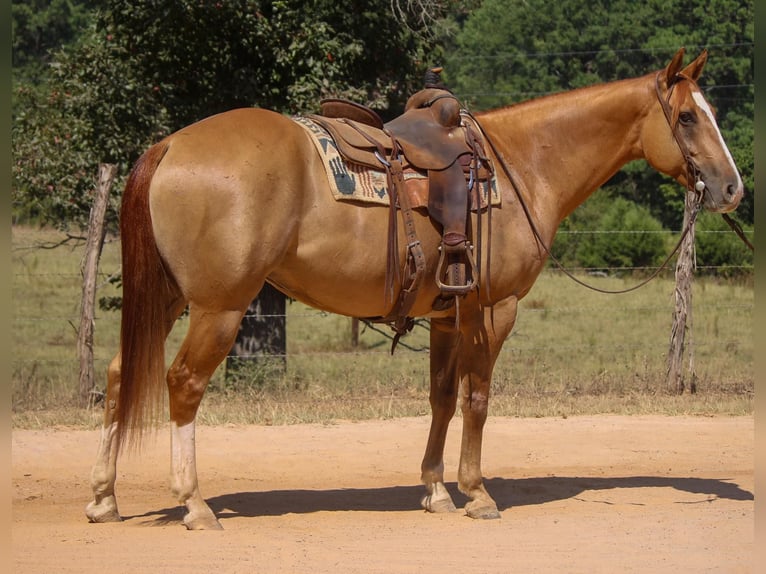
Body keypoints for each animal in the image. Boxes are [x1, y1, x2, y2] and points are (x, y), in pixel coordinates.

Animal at [85, 48, 744, 532]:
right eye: (688, 117)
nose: (733, 189)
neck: (523, 165)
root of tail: (170, 144)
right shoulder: (493, 310)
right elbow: (478, 399)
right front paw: (477, 493)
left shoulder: (448, 314)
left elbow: (442, 400)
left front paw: (436, 490)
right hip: (218, 306)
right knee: (183, 383)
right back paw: (194, 504)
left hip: (170, 298)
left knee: (119, 373)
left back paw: (103, 498)